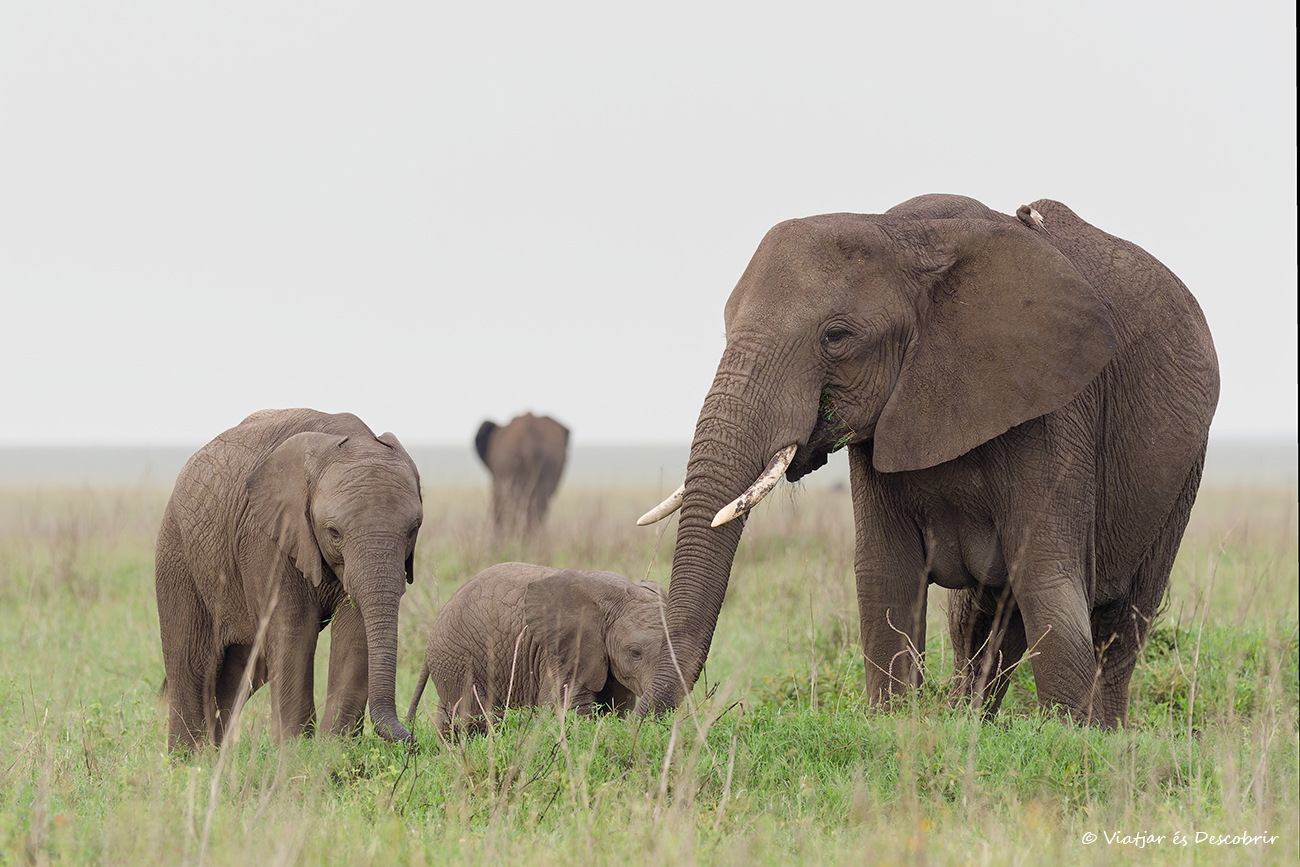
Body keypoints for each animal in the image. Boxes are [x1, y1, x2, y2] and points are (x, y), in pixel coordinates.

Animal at [155, 408, 423, 752]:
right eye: (333, 532)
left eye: (413, 529)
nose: (412, 739)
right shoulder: (266, 535)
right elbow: (294, 626)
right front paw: (296, 751)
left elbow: (356, 629)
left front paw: (333, 750)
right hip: (177, 553)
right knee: (191, 664)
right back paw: (190, 759)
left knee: (244, 673)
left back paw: (219, 755)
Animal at [406, 562, 665, 735]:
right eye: (635, 653)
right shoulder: (561, 651)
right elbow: (568, 709)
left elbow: (618, 708)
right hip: (460, 657)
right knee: (470, 716)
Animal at [637, 194, 1219, 728]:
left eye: (836, 337)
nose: (632, 718)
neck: (904, 235)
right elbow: (886, 580)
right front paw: (898, 726)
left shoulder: (1056, 410)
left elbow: (1050, 585)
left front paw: (1071, 741)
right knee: (980, 622)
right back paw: (970, 723)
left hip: (1184, 470)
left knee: (1121, 623)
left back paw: (1109, 736)